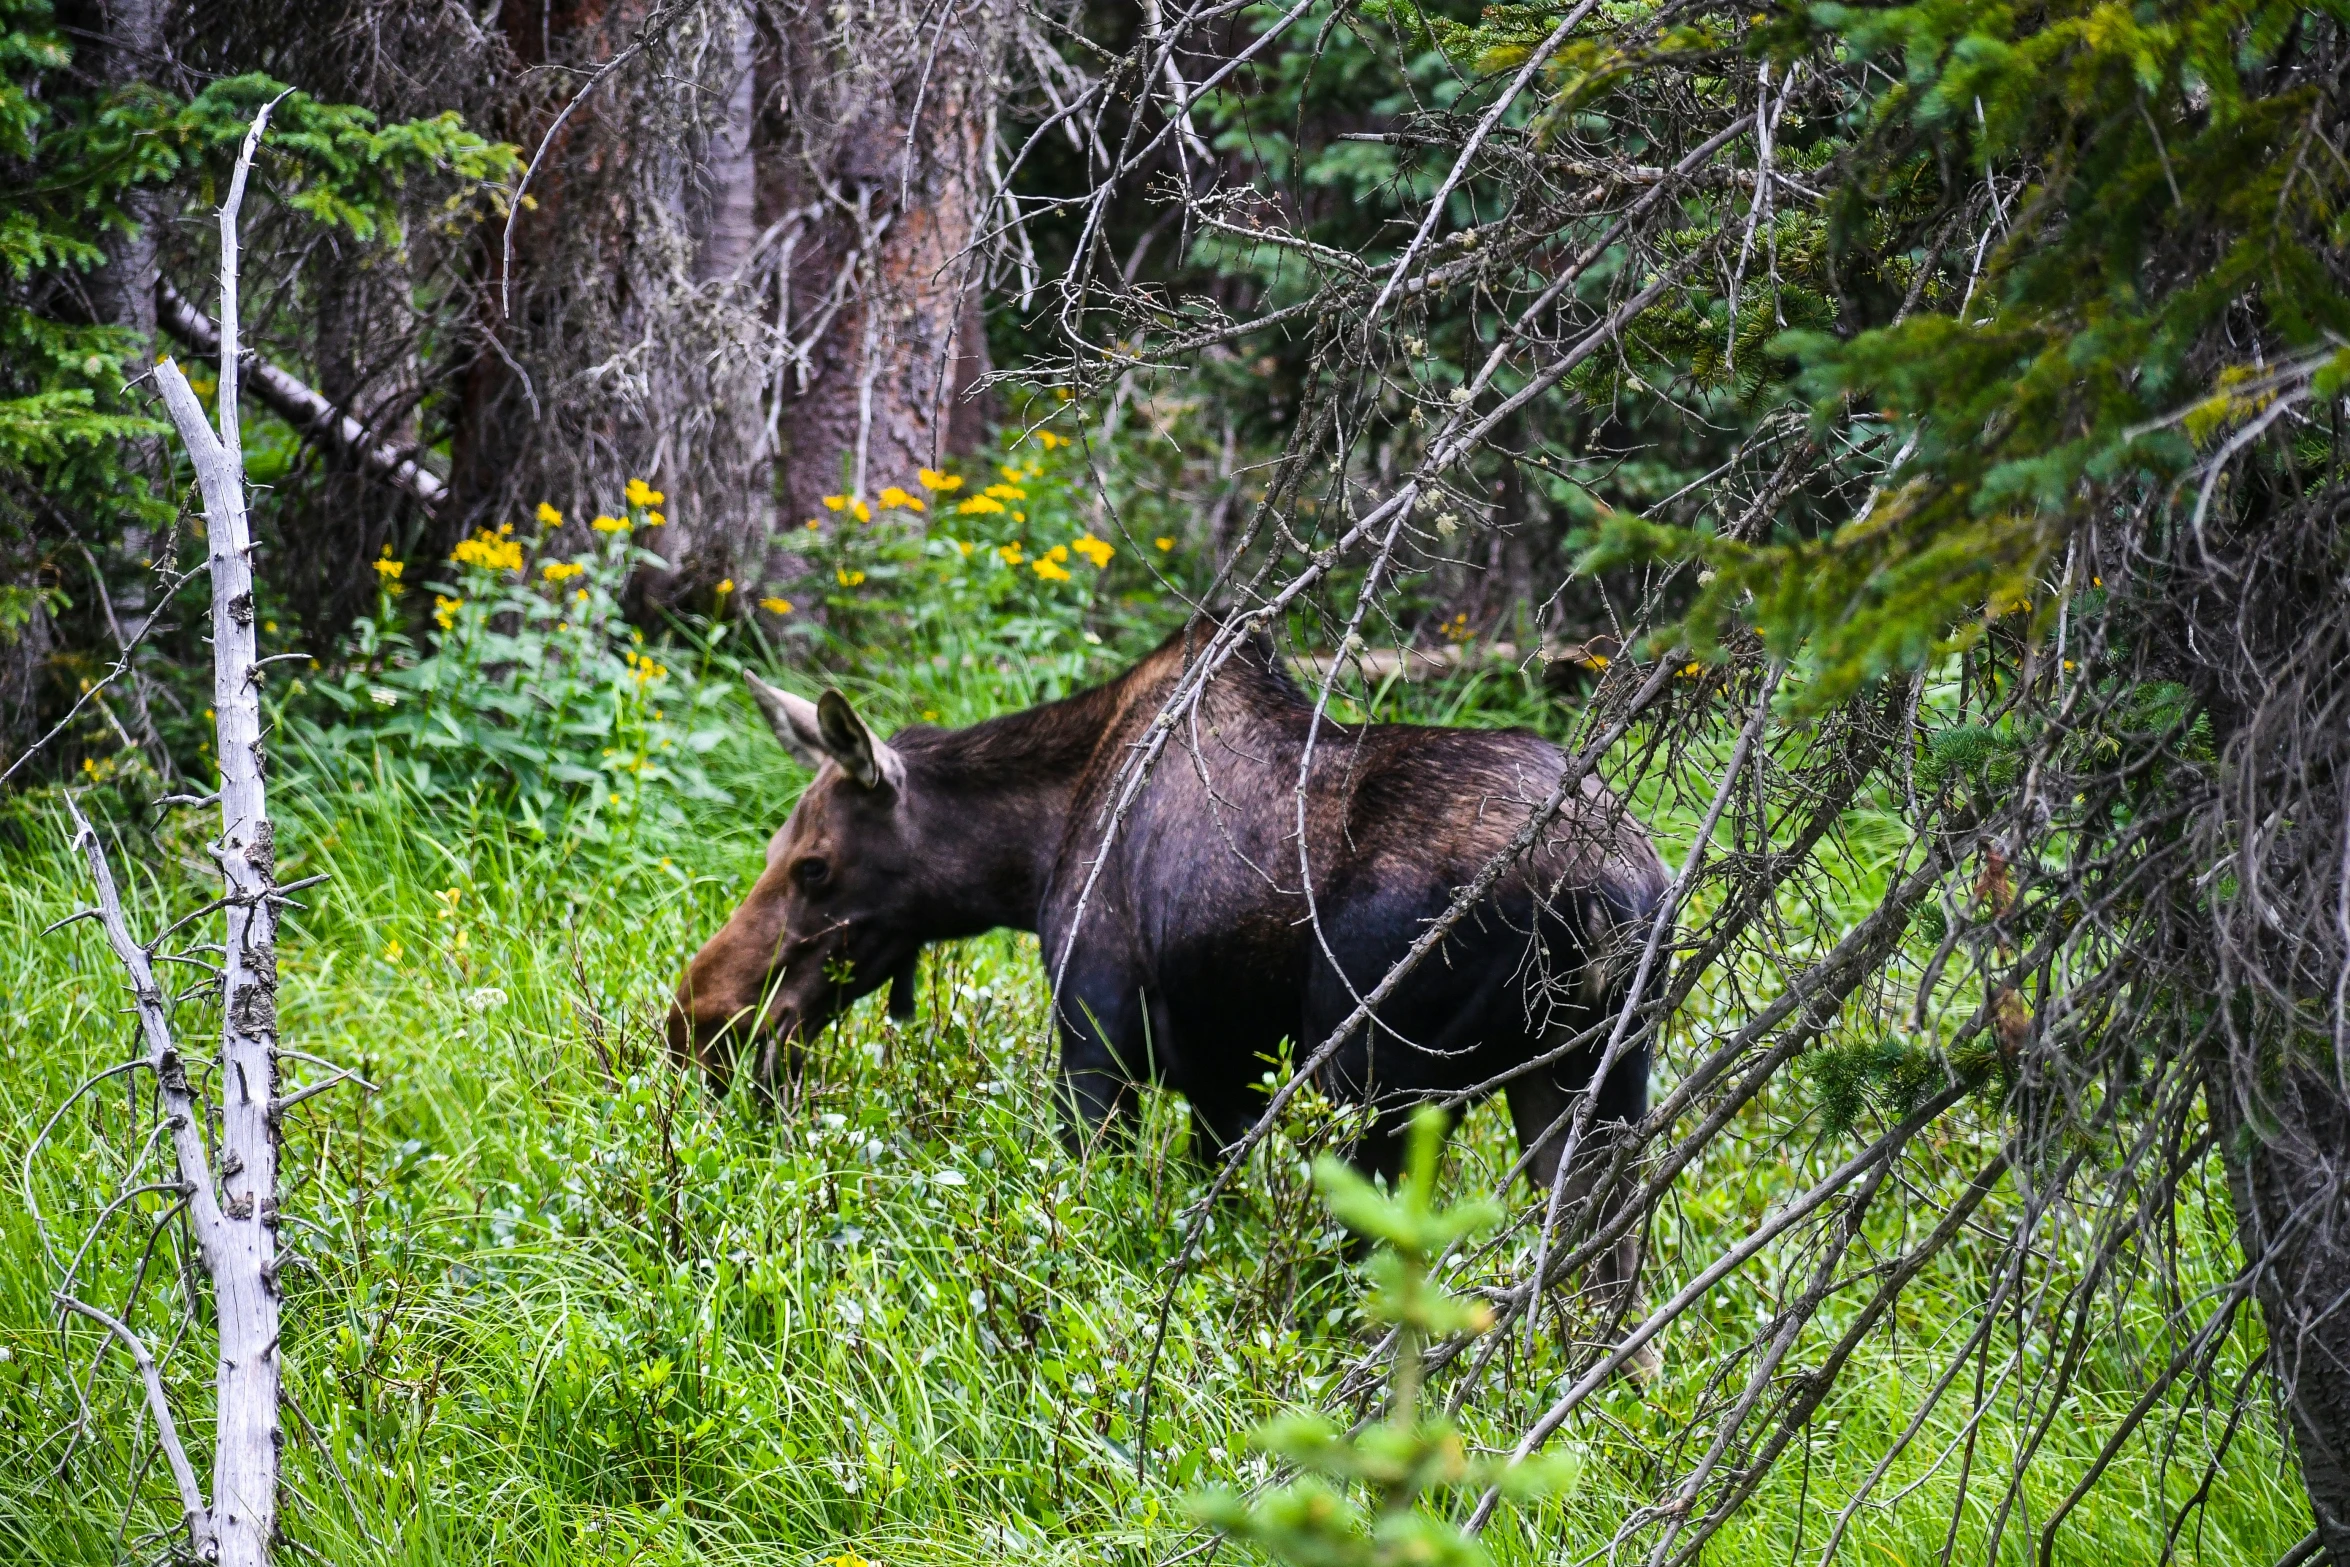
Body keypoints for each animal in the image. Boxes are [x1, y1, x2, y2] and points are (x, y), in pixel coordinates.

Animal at [667, 620, 1673, 1212]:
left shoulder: (1095, 1034)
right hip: (1593, 1080)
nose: (700, 1016)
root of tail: (1617, 896)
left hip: (1378, 1082)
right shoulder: (1223, 1076)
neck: (1027, 857)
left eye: (815, 864)